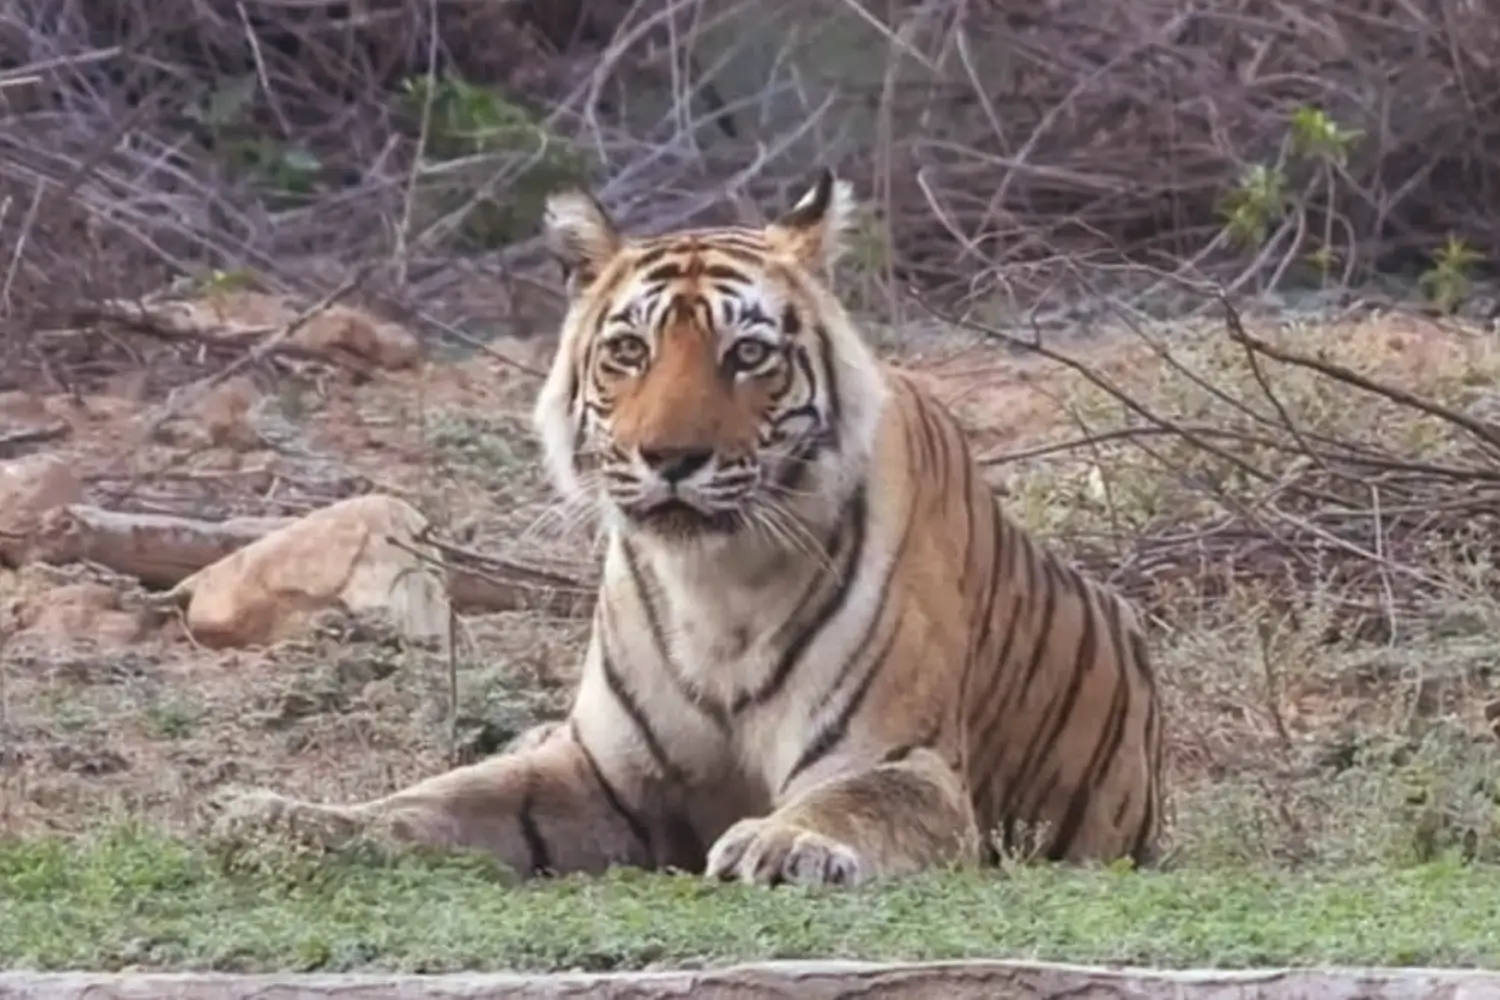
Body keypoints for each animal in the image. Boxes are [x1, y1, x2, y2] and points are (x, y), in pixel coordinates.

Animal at [211, 169, 1165, 887]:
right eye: (629, 351)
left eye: (748, 354)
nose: (671, 455)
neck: (721, 586)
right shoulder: (598, 774)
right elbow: (437, 801)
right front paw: (287, 821)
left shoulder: (900, 760)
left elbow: (848, 802)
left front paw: (782, 841)